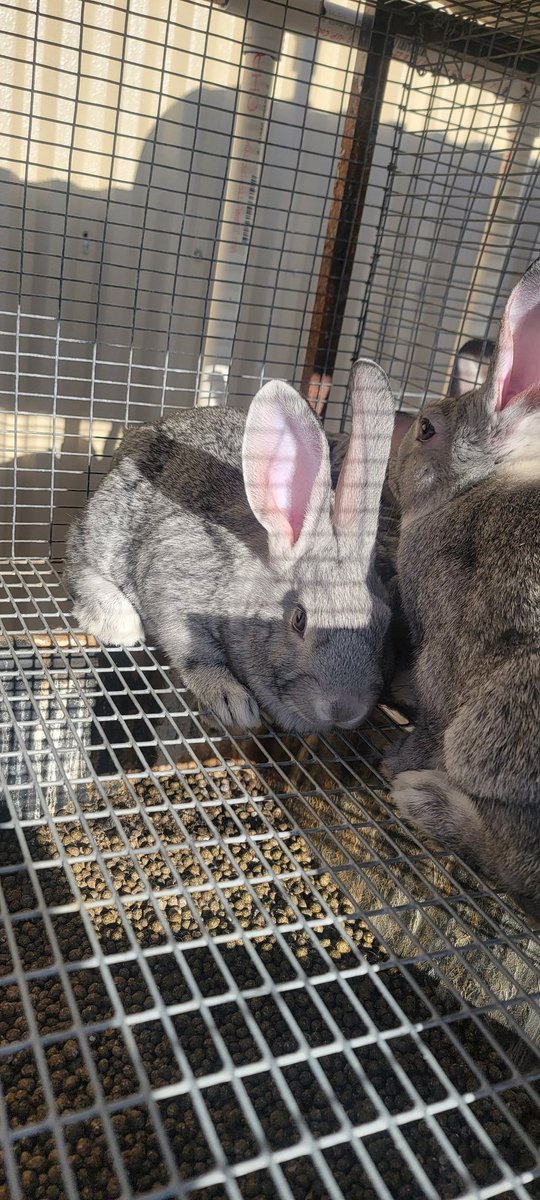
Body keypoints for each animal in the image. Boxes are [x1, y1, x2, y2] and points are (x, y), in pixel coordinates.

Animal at [65, 359, 396, 735]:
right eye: (299, 618)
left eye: (385, 621)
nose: (344, 710)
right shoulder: (175, 586)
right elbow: (194, 651)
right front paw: (233, 702)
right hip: (108, 528)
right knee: (77, 555)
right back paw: (118, 621)